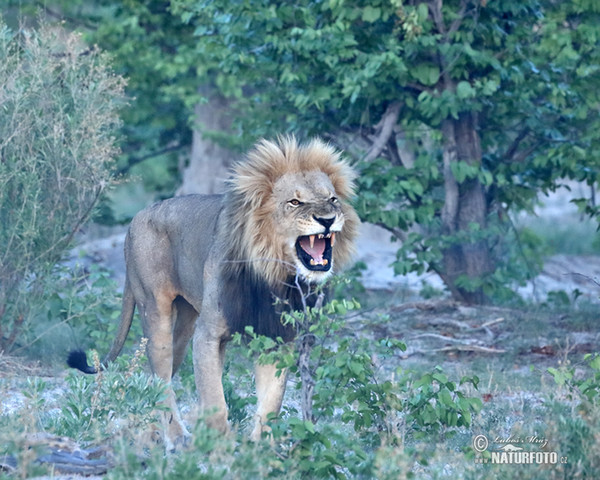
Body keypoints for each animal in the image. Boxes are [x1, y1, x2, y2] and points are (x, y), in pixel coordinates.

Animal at [68, 136, 358, 450]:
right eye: (295, 202)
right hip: (155, 311)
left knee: (153, 377)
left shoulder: (274, 338)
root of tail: (135, 219)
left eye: (332, 199)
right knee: (161, 378)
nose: (328, 219)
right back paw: (176, 437)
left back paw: (149, 433)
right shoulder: (208, 335)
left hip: (183, 329)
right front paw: (219, 447)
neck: (272, 274)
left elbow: (271, 404)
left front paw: (260, 449)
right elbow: (215, 400)